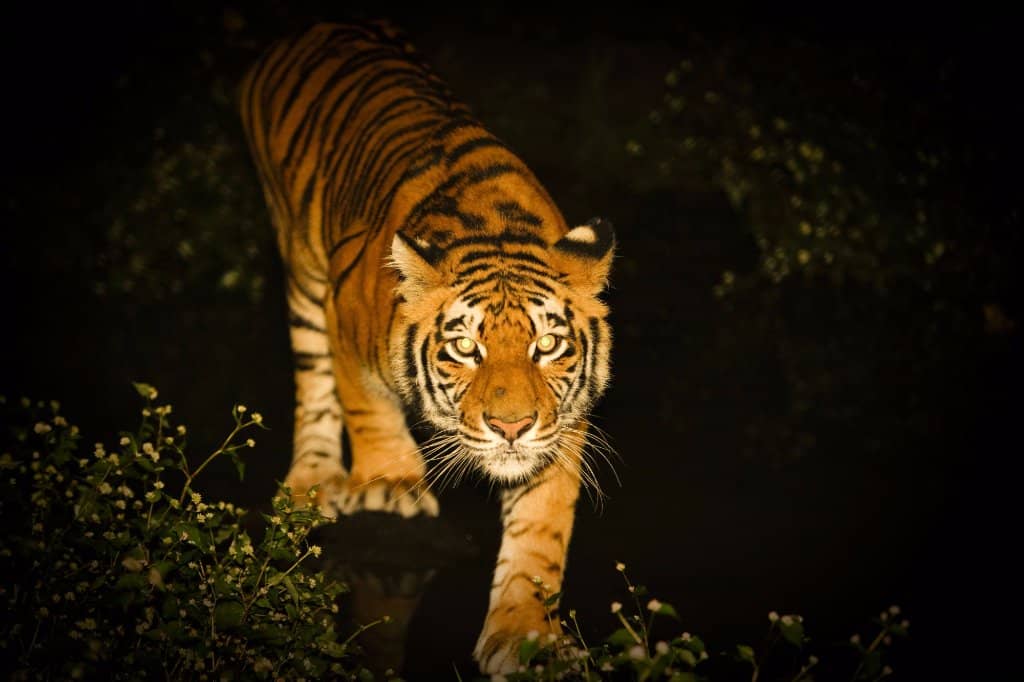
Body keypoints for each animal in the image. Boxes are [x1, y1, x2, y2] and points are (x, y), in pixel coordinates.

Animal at [238, 21, 615, 673]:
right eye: (464, 348)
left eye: (547, 345)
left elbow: (539, 532)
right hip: (300, 263)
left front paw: (525, 636)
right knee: (313, 378)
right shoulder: (341, 310)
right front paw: (392, 484)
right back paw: (313, 479)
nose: (511, 427)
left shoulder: (561, 429)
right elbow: (366, 406)